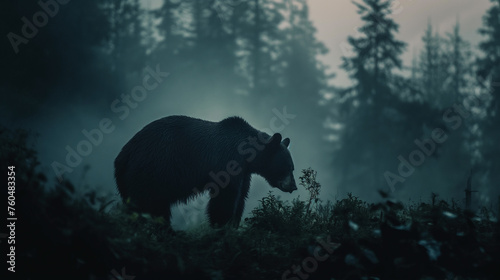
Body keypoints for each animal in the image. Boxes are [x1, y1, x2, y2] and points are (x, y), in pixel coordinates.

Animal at [114, 115, 296, 226]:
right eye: (288, 167)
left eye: (292, 167)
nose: (293, 186)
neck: (248, 156)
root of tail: (123, 156)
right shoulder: (227, 161)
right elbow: (225, 197)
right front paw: (221, 226)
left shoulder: (244, 173)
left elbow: (241, 196)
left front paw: (233, 225)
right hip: (152, 169)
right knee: (148, 204)